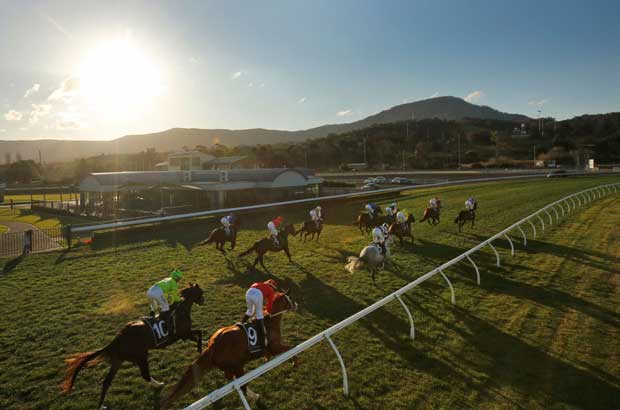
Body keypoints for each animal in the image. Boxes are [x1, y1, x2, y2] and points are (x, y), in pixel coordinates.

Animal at [62, 284, 205, 410]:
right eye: (200, 292)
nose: (203, 301)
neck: (181, 309)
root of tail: (119, 337)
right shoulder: (183, 334)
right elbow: (199, 332)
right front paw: (200, 348)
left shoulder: (184, 335)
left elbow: (198, 334)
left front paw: (201, 347)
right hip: (141, 356)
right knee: (144, 375)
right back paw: (158, 384)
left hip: (118, 360)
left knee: (107, 381)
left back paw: (101, 405)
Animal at [159, 290, 296, 408]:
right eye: (288, 298)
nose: (296, 304)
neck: (271, 320)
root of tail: (212, 345)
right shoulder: (275, 347)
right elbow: (291, 348)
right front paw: (295, 362)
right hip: (238, 365)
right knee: (242, 386)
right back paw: (255, 396)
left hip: (229, 367)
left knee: (233, 380)